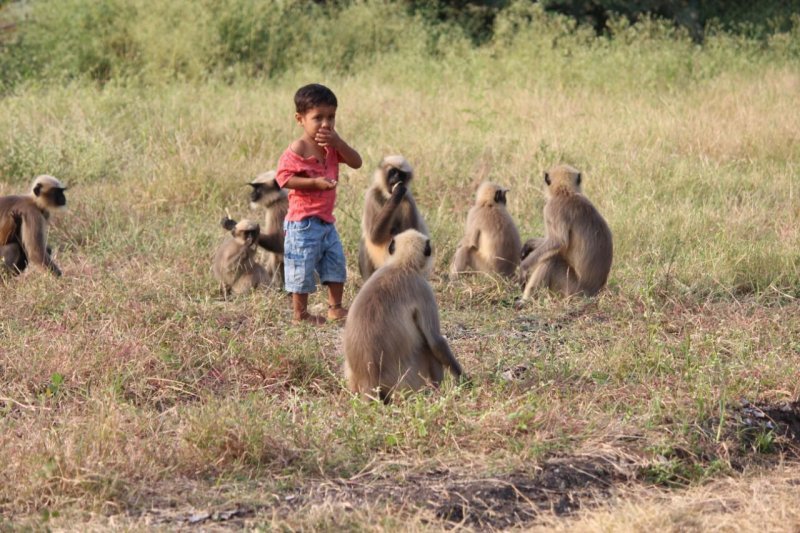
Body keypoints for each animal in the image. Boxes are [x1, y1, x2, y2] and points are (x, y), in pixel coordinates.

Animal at [342, 227, 462, 402]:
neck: (402, 264)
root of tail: (367, 379)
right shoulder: (423, 289)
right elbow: (435, 342)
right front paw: (463, 379)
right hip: (407, 378)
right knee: (427, 347)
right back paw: (436, 392)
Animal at [520, 165, 612, 300]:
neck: (565, 192)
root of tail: (594, 292)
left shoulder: (551, 208)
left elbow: (558, 242)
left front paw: (524, 266)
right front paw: (529, 244)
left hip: (571, 288)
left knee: (552, 259)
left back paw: (525, 300)